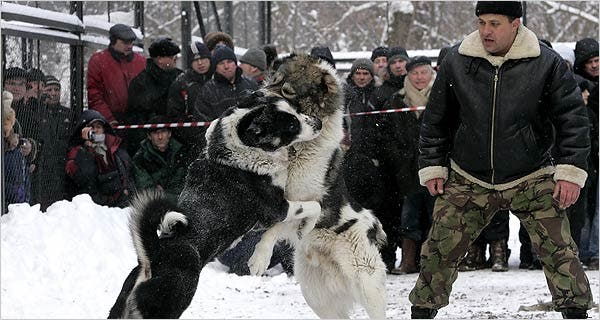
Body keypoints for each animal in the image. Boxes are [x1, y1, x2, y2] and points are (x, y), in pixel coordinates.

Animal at [107, 92, 324, 318]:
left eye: (296, 110)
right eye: (291, 124)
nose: (319, 123)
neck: (242, 150)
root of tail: (154, 256)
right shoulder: (277, 209)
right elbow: (312, 207)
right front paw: (302, 229)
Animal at [248, 53, 390, 318]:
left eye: (287, 91)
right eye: (273, 79)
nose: (255, 95)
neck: (294, 147)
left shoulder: (304, 200)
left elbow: (276, 225)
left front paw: (260, 257)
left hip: (367, 284)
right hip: (316, 295)